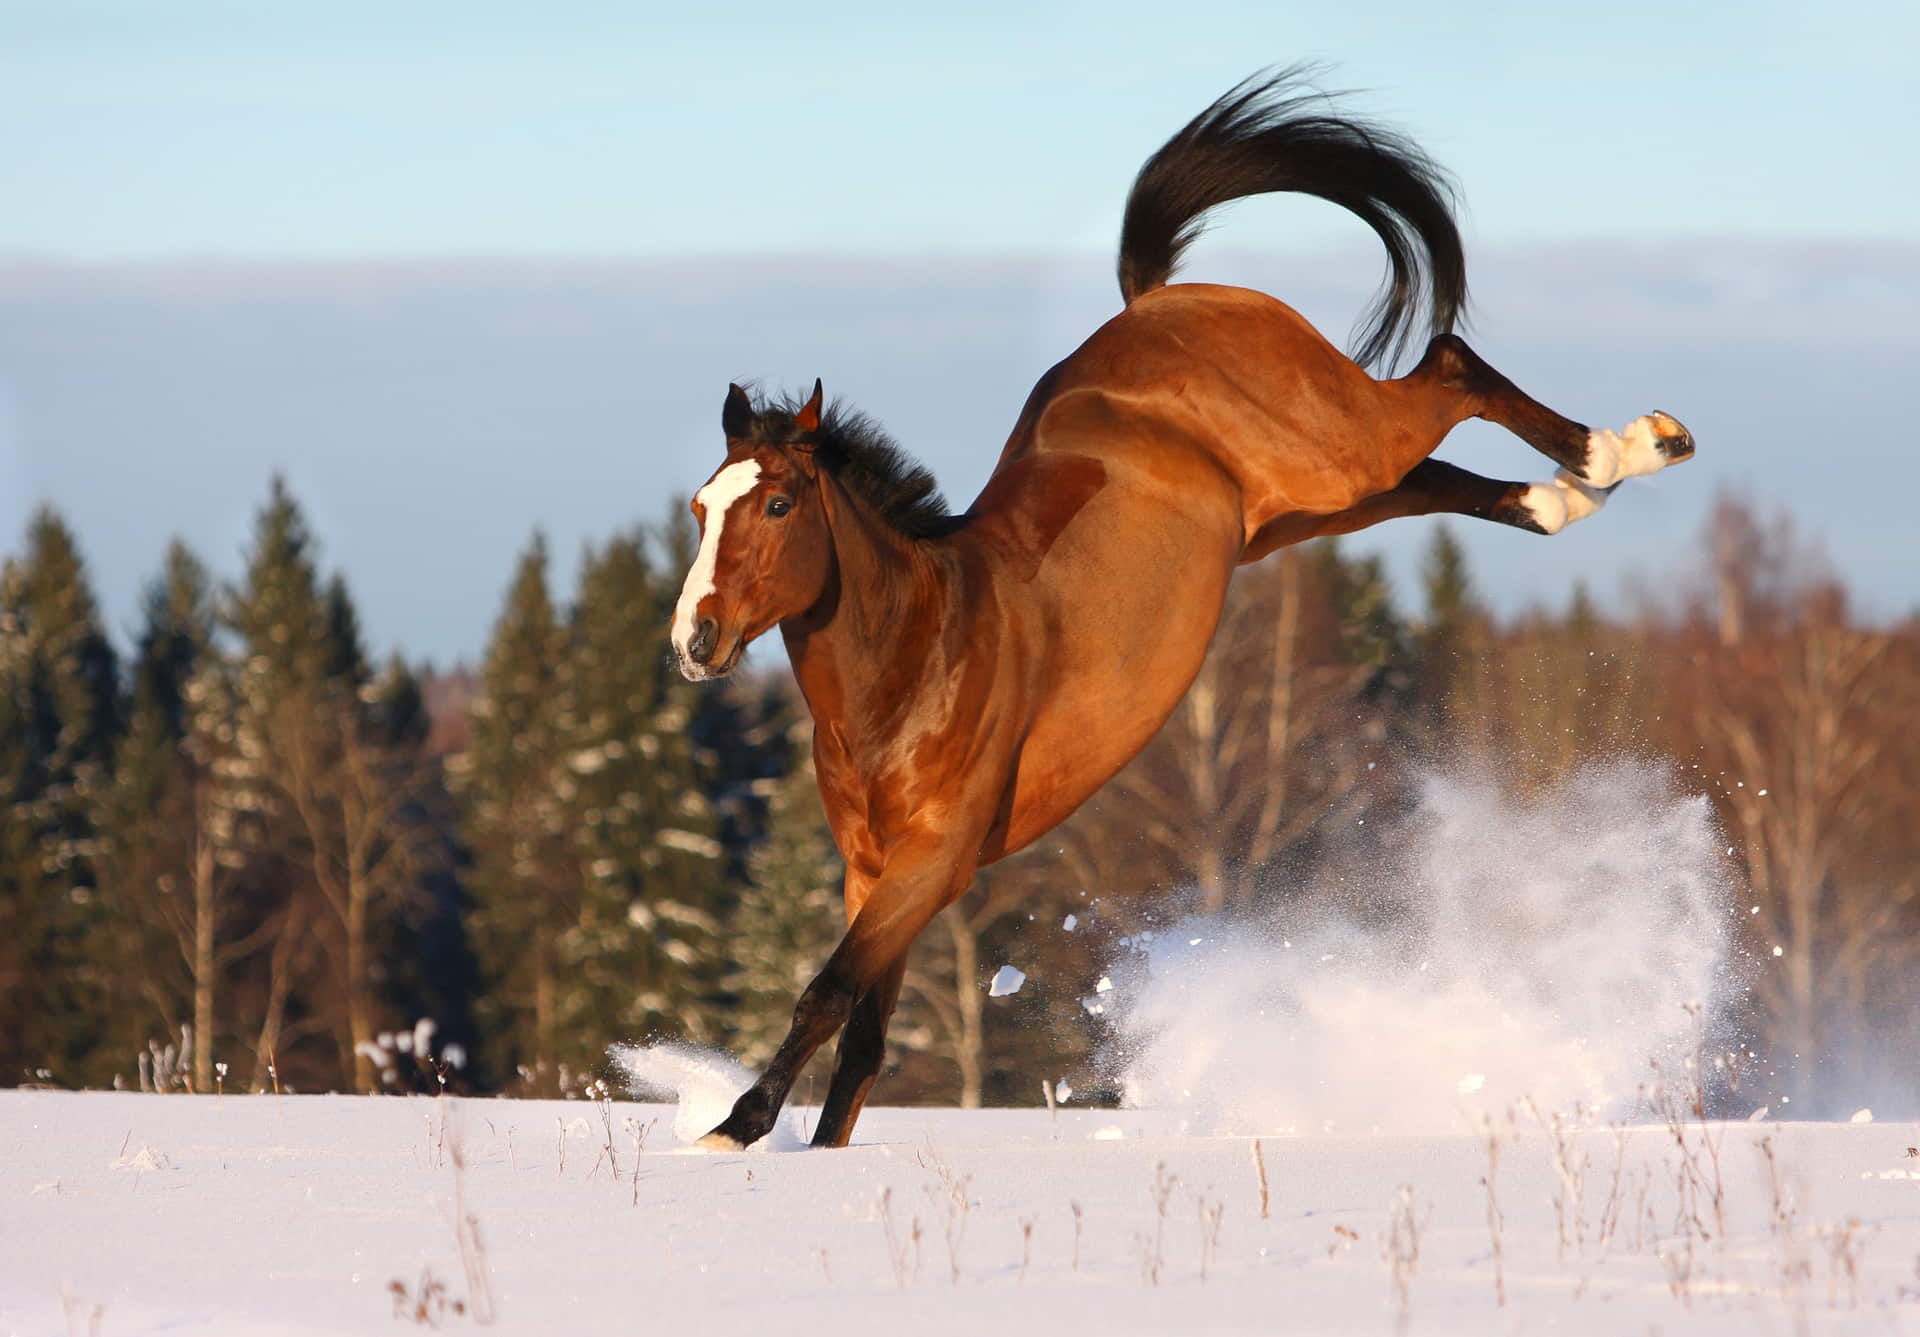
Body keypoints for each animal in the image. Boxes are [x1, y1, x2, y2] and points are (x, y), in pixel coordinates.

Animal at [668, 68, 1693, 1150]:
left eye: (778, 504)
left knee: (1451, 368)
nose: (694, 639)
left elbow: (827, 994)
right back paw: (1576, 491)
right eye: (700, 506)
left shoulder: (932, 862)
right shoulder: (874, 873)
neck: (921, 660)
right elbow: (861, 1040)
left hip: (1339, 446)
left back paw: (1633, 444)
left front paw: (732, 1127)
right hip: (1303, 508)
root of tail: (1164, 300)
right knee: (1440, 473)